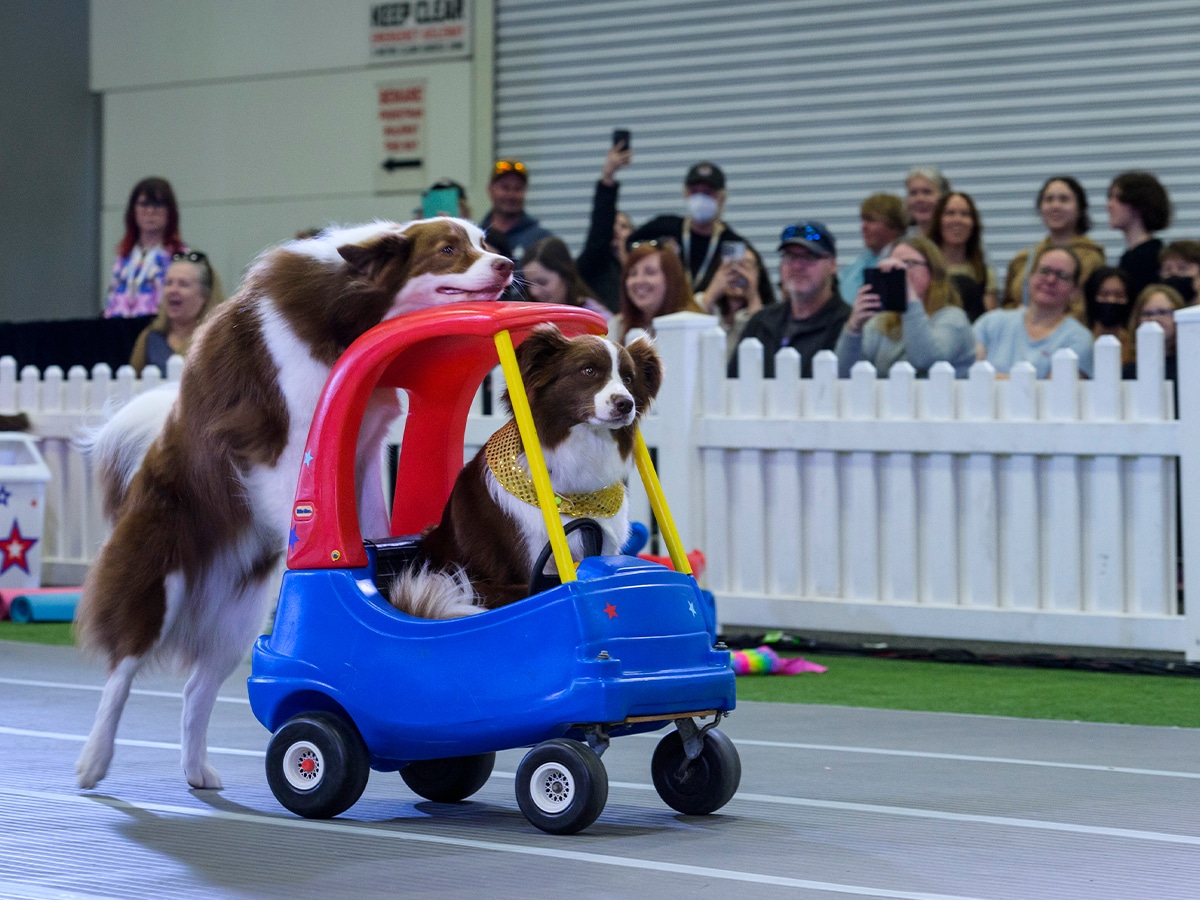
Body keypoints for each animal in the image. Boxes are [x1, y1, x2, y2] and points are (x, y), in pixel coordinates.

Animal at [73, 217, 516, 787]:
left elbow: (370, 520)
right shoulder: (282, 448)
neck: (350, 310)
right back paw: (94, 760)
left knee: (197, 687)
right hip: (159, 580)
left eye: (484, 243)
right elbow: (305, 509)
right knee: (122, 667)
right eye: (447, 250)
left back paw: (198, 770)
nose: (507, 264)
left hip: (238, 621)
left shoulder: (365, 446)